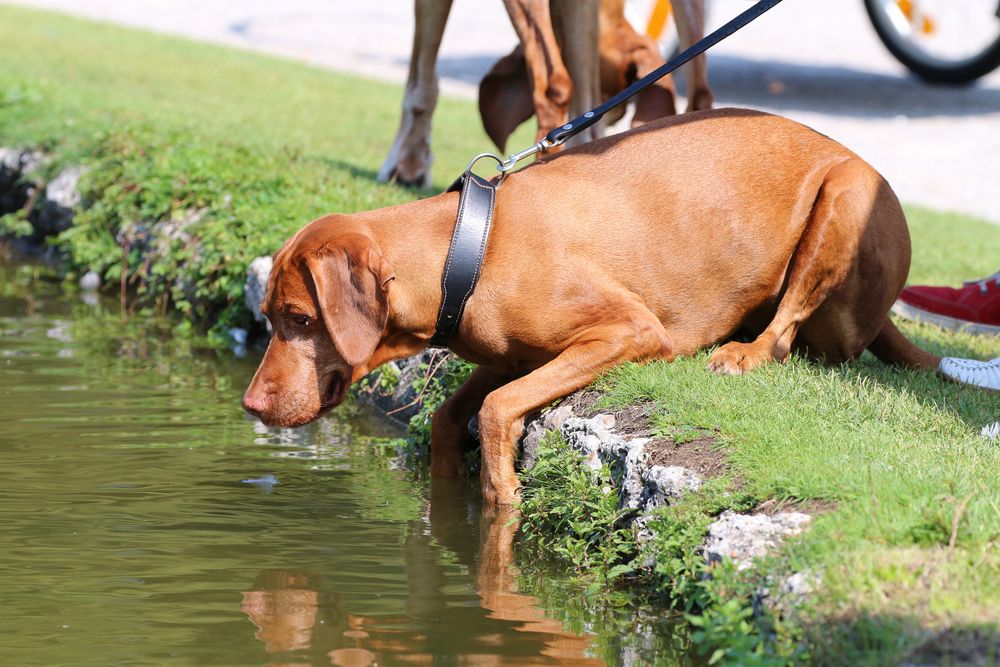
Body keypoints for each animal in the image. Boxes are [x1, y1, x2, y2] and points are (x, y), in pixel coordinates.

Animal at [246, 109, 940, 506]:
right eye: (269, 318)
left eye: (301, 320)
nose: (250, 405)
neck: (463, 251)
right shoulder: (510, 354)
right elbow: (448, 415)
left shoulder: (629, 331)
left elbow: (496, 410)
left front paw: (502, 489)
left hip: (849, 193)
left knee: (787, 332)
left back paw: (745, 351)